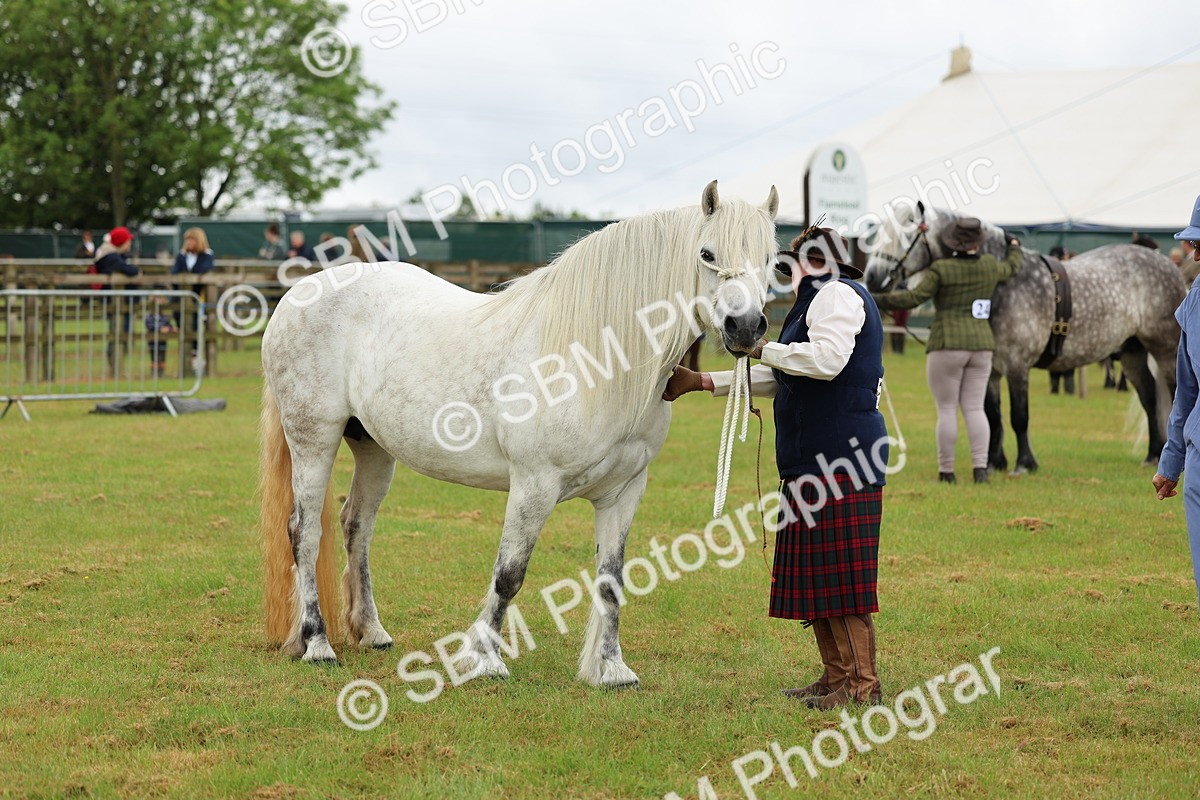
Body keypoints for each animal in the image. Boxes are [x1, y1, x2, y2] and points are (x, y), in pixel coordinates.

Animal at [259, 180, 779, 687]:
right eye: (707, 253)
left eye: (771, 258)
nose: (746, 327)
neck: (591, 360)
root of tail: (301, 293)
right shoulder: (534, 485)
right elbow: (509, 574)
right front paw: (484, 660)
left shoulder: (625, 491)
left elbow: (612, 579)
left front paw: (611, 670)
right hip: (313, 440)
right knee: (305, 532)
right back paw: (317, 644)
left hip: (373, 449)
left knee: (356, 526)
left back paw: (372, 632)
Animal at [864, 202, 1185, 473]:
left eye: (905, 235)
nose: (872, 278)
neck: (1004, 283)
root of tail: (1168, 266)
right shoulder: (991, 369)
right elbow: (992, 416)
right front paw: (995, 462)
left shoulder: (1017, 366)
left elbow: (1019, 416)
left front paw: (1024, 464)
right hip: (1132, 352)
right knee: (1149, 398)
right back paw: (1152, 455)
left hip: (1166, 351)